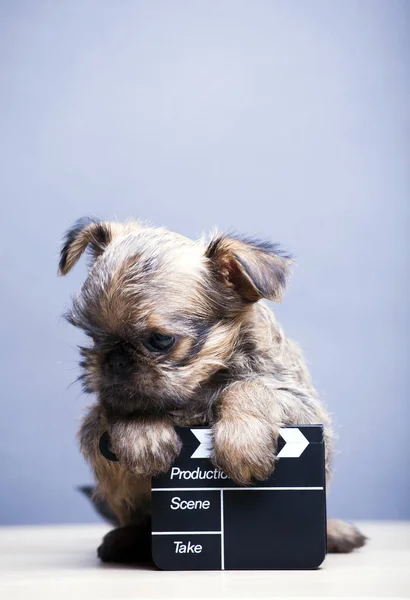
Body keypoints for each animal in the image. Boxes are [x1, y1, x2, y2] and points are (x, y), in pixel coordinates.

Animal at [57, 217, 366, 564]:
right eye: (93, 336)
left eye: (160, 340)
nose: (115, 360)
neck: (201, 385)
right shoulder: (98, 426)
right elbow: (119, 407)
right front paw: (141, 430)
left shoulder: (303, 406)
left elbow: (250, 385)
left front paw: (242, 441)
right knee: (136, 519)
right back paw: (128, 539)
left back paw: (333, 531)